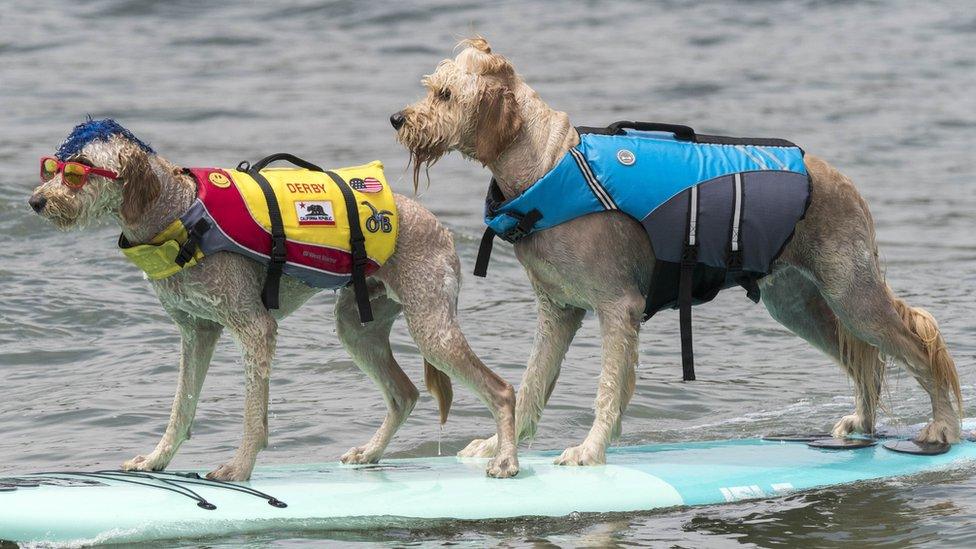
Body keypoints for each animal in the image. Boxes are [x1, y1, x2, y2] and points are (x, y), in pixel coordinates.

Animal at [28, 119, 520, 480]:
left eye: (79, 170)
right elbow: (180, 407)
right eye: (52, 167)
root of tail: (440, 226)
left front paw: (238, 468)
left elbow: (253, 415)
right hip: (357, 327)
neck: (181, 213)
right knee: (404, 394)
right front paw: (156, 461)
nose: (35, 201)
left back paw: (506, 460)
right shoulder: (196, 331)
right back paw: (370, 453)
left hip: (431, 327)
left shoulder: (254, 328)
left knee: (501, 389)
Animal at [392, 38, 964, 464]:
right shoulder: (558, 311)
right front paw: (498, 445)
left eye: (445, 94)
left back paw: (941, 427)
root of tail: (843, 180)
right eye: (431, 89)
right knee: (865, 360)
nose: (398, 119)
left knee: (917, 346)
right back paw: (864, 423)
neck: (546, 165)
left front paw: (589, 451)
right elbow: (532, 384)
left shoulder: (617, 306)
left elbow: (607, 387)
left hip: (852, 292)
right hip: (798, 304)